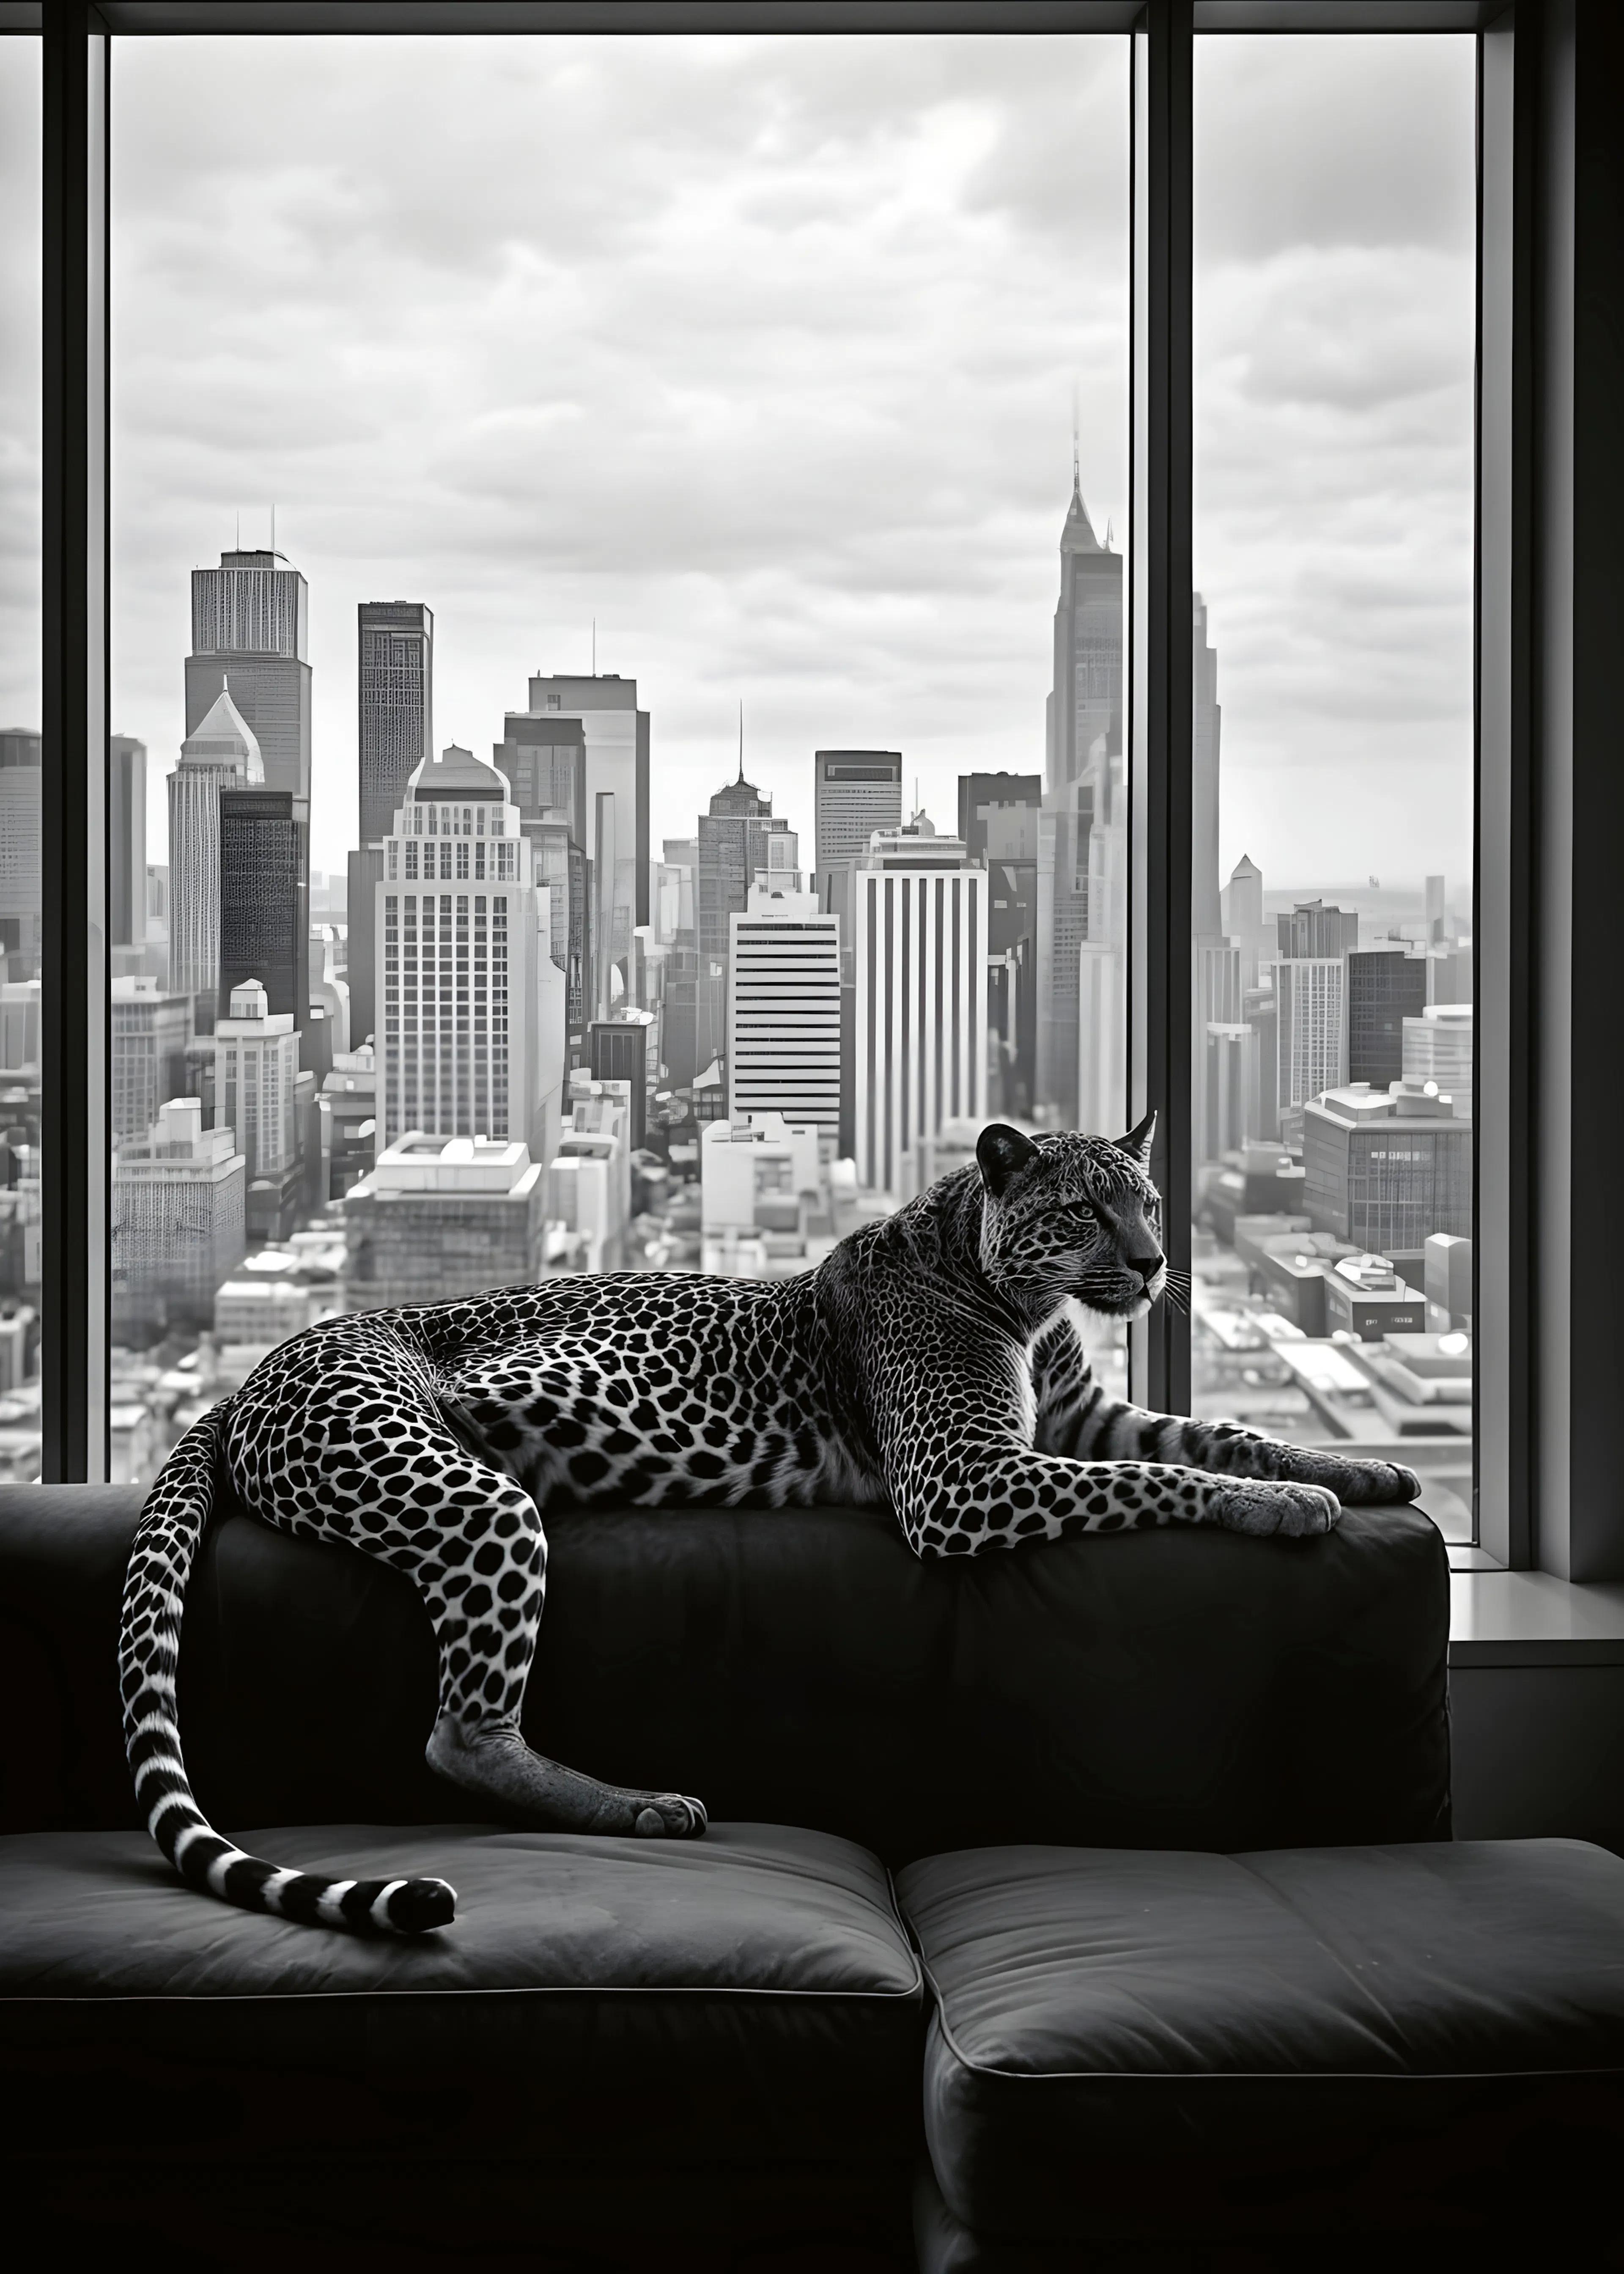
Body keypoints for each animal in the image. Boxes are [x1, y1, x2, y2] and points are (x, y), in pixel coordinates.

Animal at [120, 1116, 1421, 1936]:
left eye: (1145, 1201)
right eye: (1082, 1212)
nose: (1153, 1266)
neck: (1020, 1300)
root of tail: (254, 1372)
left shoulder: (1082, 1419)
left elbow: (1219, 1436)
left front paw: (1354, 1469)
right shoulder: (964, 1479)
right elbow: (1163, 1484)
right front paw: (1287, 1508)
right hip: (467, 1495)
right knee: (461, 1737)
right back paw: (639, 1807)